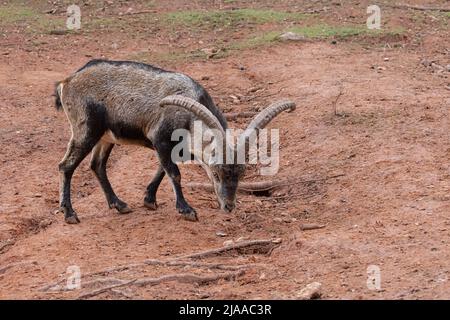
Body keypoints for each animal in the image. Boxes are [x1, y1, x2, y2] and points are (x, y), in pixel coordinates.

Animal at [54, 60, 296, 225]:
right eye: (216, 173)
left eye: (242, 173)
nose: (228, 206)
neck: (189, 117)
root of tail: (67, 82)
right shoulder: (159, 139)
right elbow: (174, 173)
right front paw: (186, 210)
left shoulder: (171, 149)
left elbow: (163, 169)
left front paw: (149, 200)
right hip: (85, 130)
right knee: (66, 165)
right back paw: (70, 213)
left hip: (106, 136)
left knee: (97, 165)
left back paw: (119, 204)